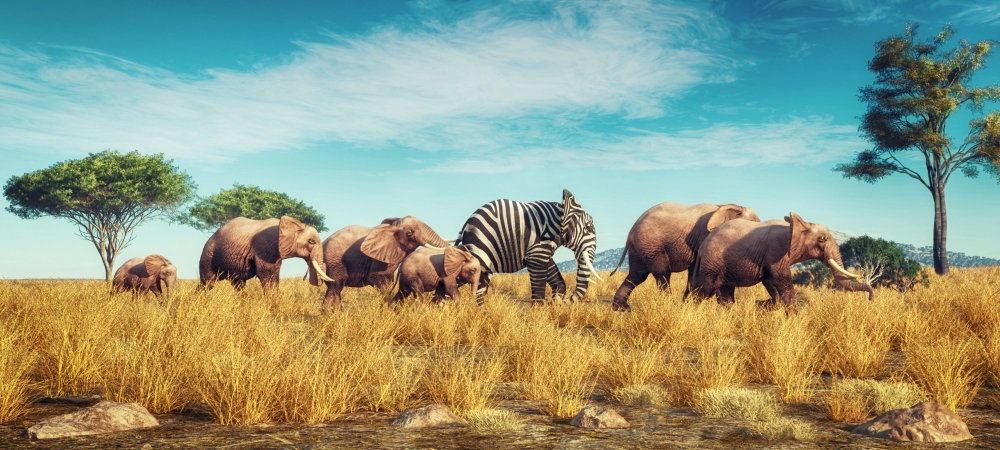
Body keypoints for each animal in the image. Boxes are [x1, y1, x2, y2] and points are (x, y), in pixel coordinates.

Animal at [199, 216, 333, 294]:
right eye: (311, 241)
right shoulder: (265, 246)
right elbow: (268, 275)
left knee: (238, 284)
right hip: (208, 254)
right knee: (207, 282)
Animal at [321, 216, 449, 312]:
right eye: (410, 233)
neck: (394, 227)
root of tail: (323, 242)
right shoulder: (378, 259)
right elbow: (377, 278)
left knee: (337, 288)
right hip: (334, 261)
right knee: (336, 285)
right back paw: (328, 316)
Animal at [455, 189, 600, 303]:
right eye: (588, 228)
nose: (564, 301)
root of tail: (465, 226)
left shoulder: (543, 248)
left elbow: (556, 279)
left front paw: (556, 301)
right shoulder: (539, 244)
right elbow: (539, 286)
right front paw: (538, 317)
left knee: (479, 286)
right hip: (479, 247)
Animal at [610, 202, 760, 312]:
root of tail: (632, 228)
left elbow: (694, 273)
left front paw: (687, 304)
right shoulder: (704, 237)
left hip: (641, 246)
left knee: (638, 274)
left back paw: (621, 308)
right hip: (650, 242)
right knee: (662, 273)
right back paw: (669, 305)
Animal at [689, 212, 874, 308]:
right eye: (821, 239)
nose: (871, 298)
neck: (795, 226)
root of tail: (703, 246)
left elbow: (771, 283)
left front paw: (770, 307)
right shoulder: (775, 252)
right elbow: (782, 282)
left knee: (725, 292)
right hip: (713, 263)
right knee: (705, 290)